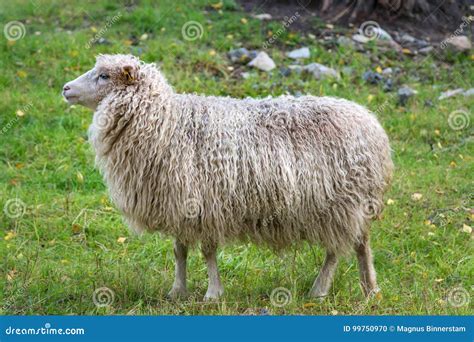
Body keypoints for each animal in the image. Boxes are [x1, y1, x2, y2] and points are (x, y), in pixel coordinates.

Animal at [63, 53, 394, 300]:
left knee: (336, 249)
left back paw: (320, 290)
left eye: (104, 76)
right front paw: (177, 291)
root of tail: (371, 124)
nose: (65, 88)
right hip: (351, 203)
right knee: (361, 244)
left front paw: (213, 294)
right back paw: (370, 289)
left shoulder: (206, 204)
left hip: (338, 203)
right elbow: (179, 251)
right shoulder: (180, 203)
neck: (166, 123)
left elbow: (208, 252)